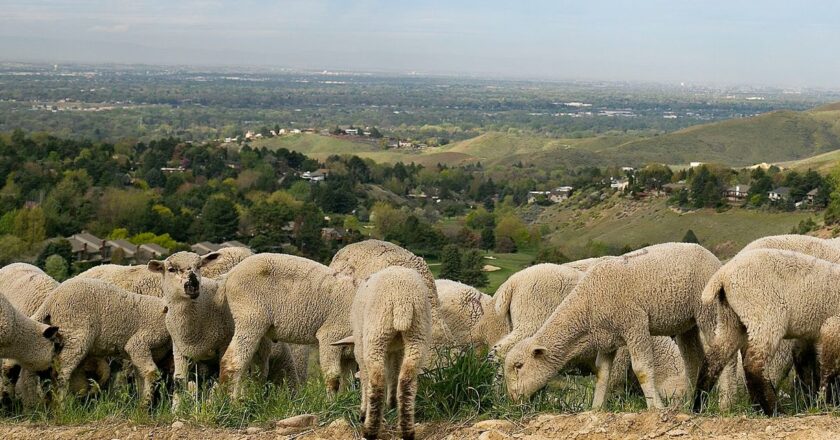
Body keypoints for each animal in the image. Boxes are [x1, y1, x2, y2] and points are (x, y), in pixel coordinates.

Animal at [32, 278, 172, 406]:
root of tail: (51, 300)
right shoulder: (140, 343)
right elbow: (151, 372)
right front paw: (145, 405)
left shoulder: (141, 353)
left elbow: (141, 378)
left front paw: (141, 404)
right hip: (75, 335)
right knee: (61, 372)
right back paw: (61, 405)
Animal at [218, 251, 360, 398]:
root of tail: (230, 274)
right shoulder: (330, 336)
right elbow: (333, 377)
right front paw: (331, 401)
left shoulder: (349, 355)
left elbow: (348, 381)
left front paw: (345, 399)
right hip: (250, 318)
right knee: (233, 361)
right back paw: (229, 399)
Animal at [332, 264, 430, 440]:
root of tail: (402, 299)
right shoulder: (397, 350)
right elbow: (393, 373)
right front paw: (391, 404)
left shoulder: (360, 346)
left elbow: (365, 378)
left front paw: (363, 410)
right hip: (418, 333)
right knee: (406, 378)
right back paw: (406, 429)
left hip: (376, 332)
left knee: (376, 379)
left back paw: (369, 429)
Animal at [502, 241, 720, 410]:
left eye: (519, 366)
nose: (512, 400)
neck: (587, 303)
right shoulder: (607, 341)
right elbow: (602, 374)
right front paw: (596, 409)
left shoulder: (635, 325)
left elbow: (642, 369)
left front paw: (656, 407)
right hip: (687, 325)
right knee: (695, 361)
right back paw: (692, 406)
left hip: (708, 312)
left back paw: (722, 403)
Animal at [692, 249, 840, 414]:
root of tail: (723, 274)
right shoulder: (833, 326)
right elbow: (830, 368)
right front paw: (828, 401)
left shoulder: (808, 335)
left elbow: (805, 365)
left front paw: (813, 400)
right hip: (766, 316)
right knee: (753, 365)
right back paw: (774, 410)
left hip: (730, 319)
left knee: (714, 359)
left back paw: (698, 405)